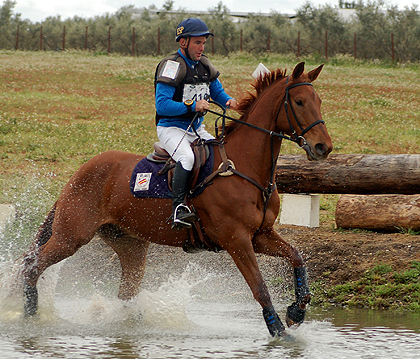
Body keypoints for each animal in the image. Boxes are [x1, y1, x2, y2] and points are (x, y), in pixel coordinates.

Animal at [22, 62, 332, 338]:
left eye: (318, 101)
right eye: (300, 102)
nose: (323, 147)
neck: (245, 168)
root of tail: (80, 171)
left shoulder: (261, 235)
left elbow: (296, 257)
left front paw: (297, 311)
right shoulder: (237, 240)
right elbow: (260, 287)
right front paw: (278, 331)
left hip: (130, 245)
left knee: (125, 292)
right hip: (71, 236)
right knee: (31, 265)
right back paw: (29, 314)